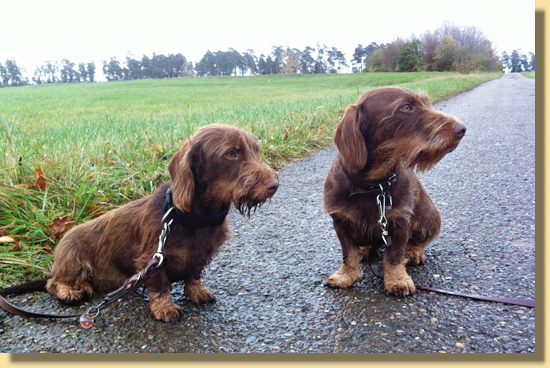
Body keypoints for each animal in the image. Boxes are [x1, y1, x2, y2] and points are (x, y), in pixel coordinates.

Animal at [2, 123, 280, 322]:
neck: (195, 218)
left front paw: (197, 291)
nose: (274, 185)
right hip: (72, 257)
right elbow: (160, 285)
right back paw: (70, 291)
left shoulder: (200, 256)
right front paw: (165, 308)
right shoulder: (152, 258)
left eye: (256, 150)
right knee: (52, 283)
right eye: (231, 153)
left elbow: (193, 274)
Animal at [326, 86, 468, 296]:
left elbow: (394, 255)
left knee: (418, 241)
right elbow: (348, 252)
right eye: (406, 107)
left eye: (426, 102)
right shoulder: (340, 222)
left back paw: (414, 251)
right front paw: (346, 274)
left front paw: (397, 279)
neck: (373, 186)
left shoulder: (400, 224)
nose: (461, 129)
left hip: (430, 217)